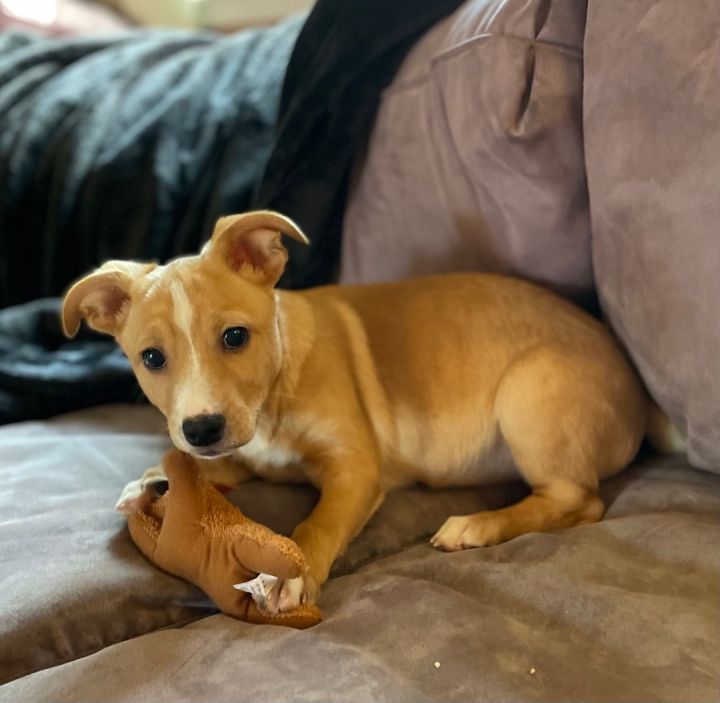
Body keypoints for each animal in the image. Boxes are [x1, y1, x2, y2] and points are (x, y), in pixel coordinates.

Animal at [60, 212, 676, 612]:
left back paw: (476, 524)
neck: (274, 398)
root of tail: (638, 391)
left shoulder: (355, 468)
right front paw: (153, 482)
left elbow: (319, 520)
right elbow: (203, 466)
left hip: (531, 392)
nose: (201, 428)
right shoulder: (235, 450)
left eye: (235, 337)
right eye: (152, 358)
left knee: (578, 500)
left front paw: (291, 574)